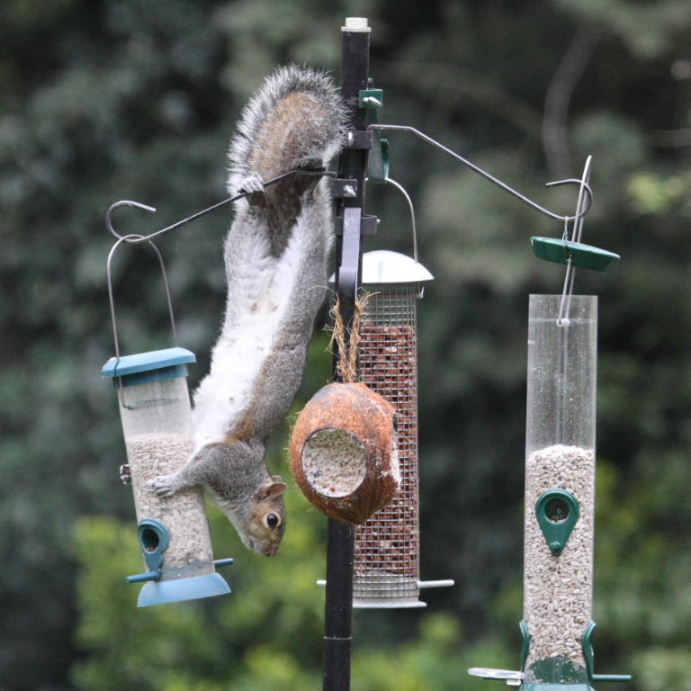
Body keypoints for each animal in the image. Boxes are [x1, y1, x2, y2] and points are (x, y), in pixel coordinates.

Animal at [148, 65, 347, 557]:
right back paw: (286, 188)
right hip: (300, 268)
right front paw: (172, 483)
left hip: (250, 256)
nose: (270, 553)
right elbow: (195, 470)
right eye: (274, 520)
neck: (246, 476)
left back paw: (258, 194)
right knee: (312, 215)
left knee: (257, 220)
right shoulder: (224, 460)